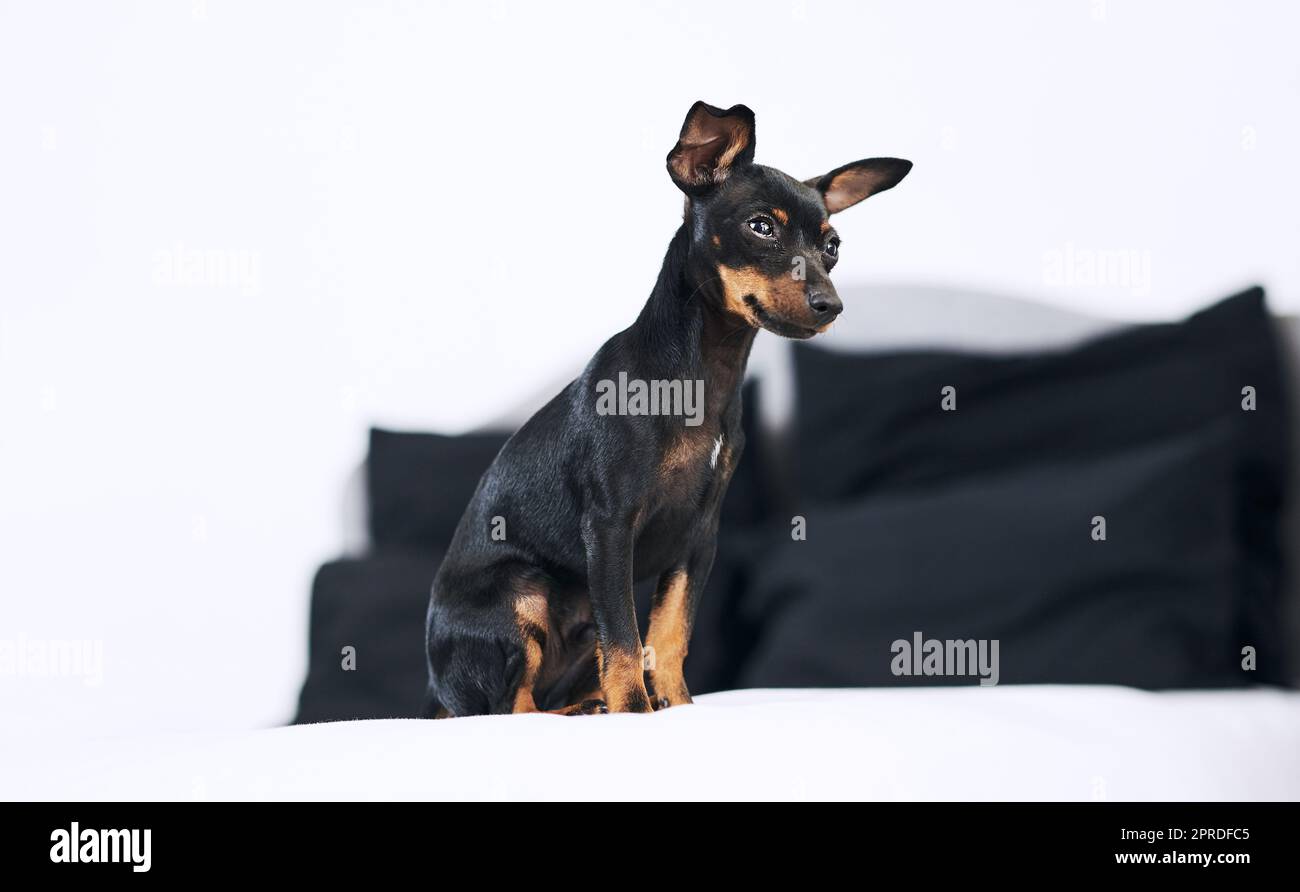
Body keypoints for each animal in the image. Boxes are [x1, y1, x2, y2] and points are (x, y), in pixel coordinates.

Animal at [421, 103, 909, 717]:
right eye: (762, 227)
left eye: (833, 247)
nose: (831, 305)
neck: (705, 376)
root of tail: (436, 692)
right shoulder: (609, 526)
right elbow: (627, 640)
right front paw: (635, 711)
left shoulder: (697, 538)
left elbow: (670, 633)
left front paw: (676, 707)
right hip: (522, 591)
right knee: (507, 708)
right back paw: (586, 709)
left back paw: (587, 705)